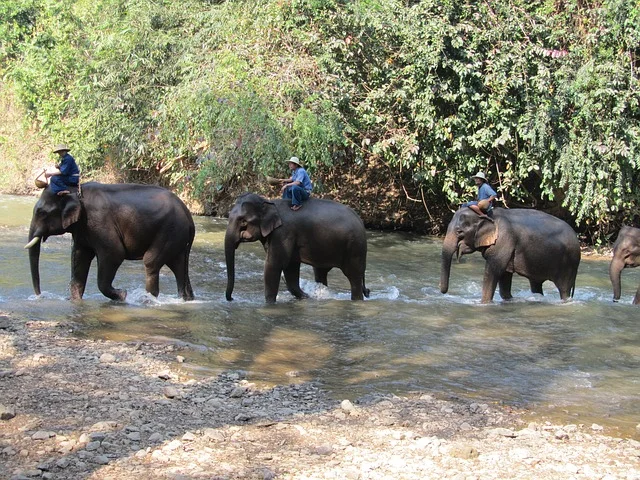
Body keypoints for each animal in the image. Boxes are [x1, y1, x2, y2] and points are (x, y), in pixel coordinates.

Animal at [25, 182, 195, 301]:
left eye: (41, 213)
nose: (40, 295)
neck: (75, 190)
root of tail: (189, 215)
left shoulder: (99, 222)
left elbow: (114, 254)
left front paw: (123, 295)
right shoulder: (82, 230)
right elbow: (79, 258)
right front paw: (73, 300)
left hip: (170, 231)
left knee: (151, 262)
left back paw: (148, 300)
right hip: (177, 237)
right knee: (178, 266)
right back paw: (185, 299)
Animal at [225, 193, 369, 303]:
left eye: (243, 222)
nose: (231, 298)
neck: (268, 203)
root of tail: (361, 221)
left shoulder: (283, 233)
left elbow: (274, 264)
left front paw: (269, 303)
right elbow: (290, 267)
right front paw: (306, 297)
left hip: (355, 248)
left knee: (354, 277)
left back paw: (356, 300)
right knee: (320, 272)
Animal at [440, 207, 581, 303]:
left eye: (459, 232)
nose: (444, 292)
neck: (487, 215)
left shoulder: (504, 241)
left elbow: (494, 271)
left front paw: (483, 303)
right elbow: (505, 276)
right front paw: (509, 300)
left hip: (568, 264)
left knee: (564, 289)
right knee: (536, 284)